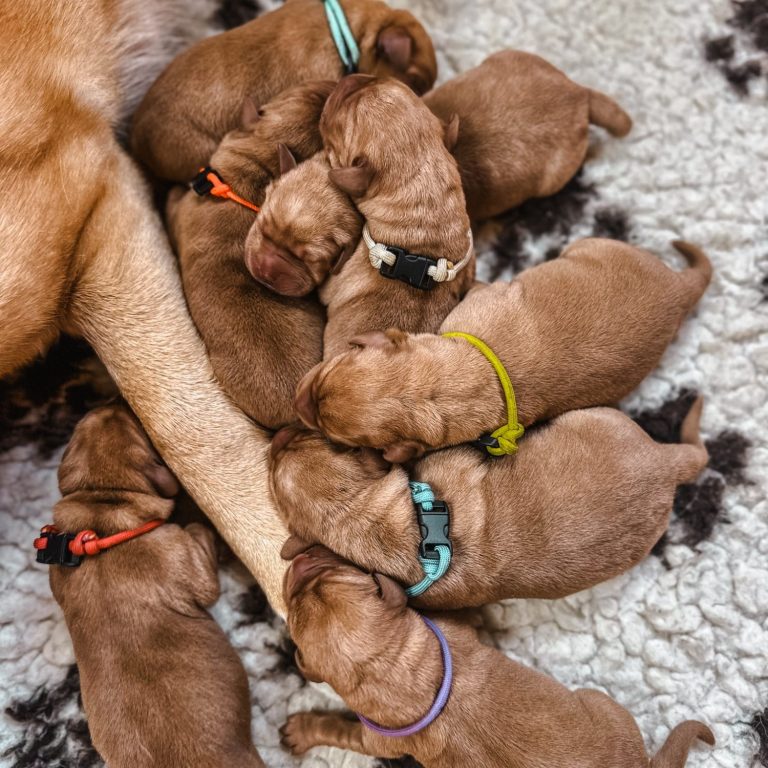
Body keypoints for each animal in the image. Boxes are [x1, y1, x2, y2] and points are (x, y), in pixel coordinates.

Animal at [46, 404, 264, 767]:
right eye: (137, 426)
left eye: (83, 423)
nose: (114, 402)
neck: (102, 511)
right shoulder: (188, 561)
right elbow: (200, 549)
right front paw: (205, 527)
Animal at [279, 547, 714, 766]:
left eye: (325, 573)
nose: (300, 562)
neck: (391, 668)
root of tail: (643, 765)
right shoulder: (375, 739)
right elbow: (337, 729)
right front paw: (302, 729)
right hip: (602, 705)